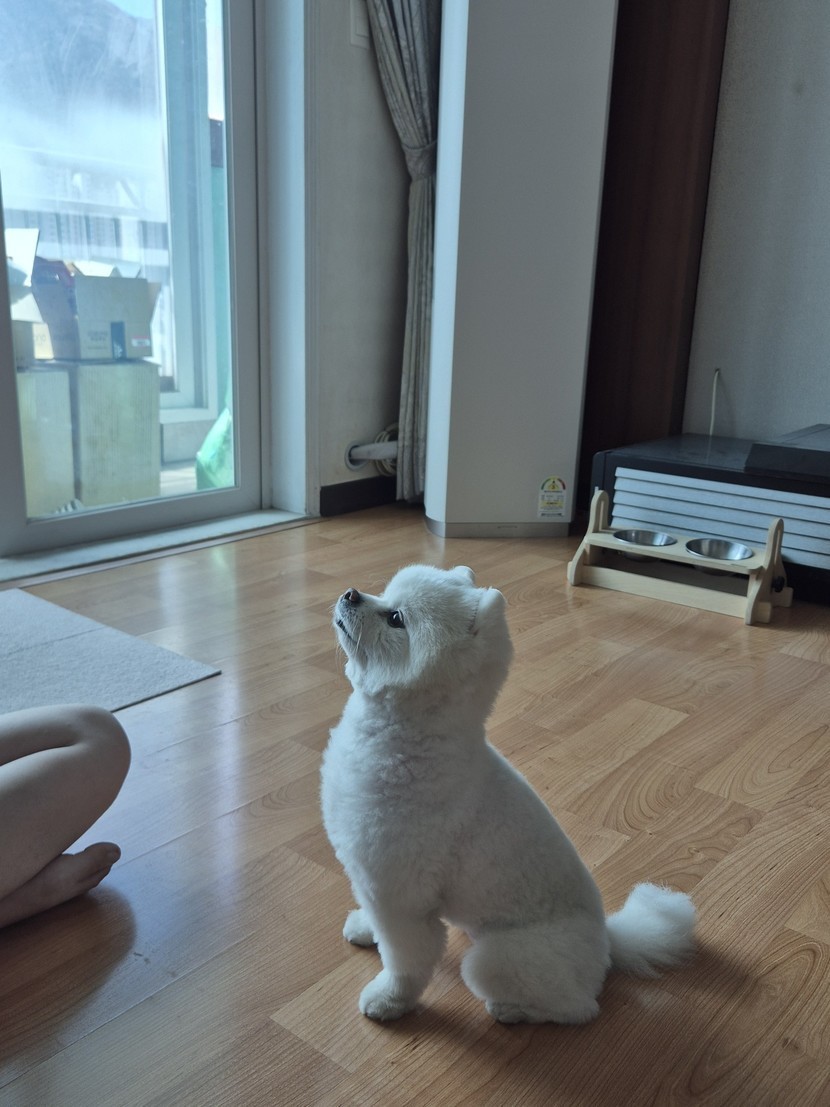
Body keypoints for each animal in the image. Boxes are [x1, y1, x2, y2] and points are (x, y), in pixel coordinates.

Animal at [321, 564, 696, 1023]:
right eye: (383, 595)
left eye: (396, 619)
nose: (351, 594)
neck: (404, 738)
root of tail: (606, 941)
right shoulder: (372, 882)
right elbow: (376, 922)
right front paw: (364, 927)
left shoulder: (401, 897)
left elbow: (405, 961)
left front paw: (391, 999)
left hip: (496, 959)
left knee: (578, 1008)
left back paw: (513, 1010)